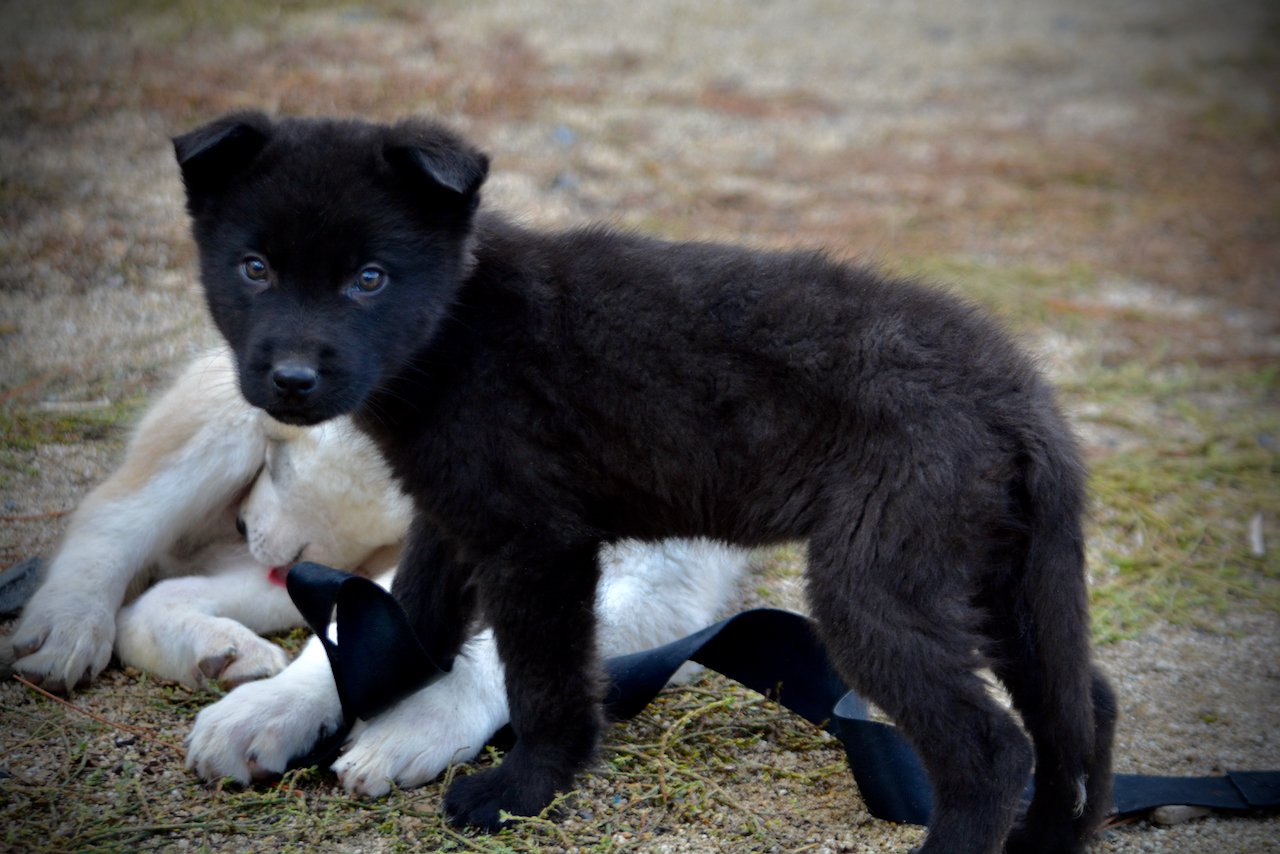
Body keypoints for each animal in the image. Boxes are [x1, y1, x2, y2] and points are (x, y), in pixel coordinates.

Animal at [10, 345, 747, 793]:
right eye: (274, 453)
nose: (243, 525)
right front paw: (275, 711)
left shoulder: (659, 581)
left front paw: (417, 723)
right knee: (114, 517)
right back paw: (66, 625)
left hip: (295, 568)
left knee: (159, 595)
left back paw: (215, 649)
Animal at [175, 113, 1116, 854]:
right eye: (254, 268)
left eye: (369, 279)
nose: (292, 379)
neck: (455, 328)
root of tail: (1018, 395)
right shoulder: (456, 514)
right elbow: (407, 621)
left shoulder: (540, 542)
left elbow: (544, 679)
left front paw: (523, 789)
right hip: (1003, 580)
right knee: (1083, 708)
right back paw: (1047, 838)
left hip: (878, 580)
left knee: (994, 748)